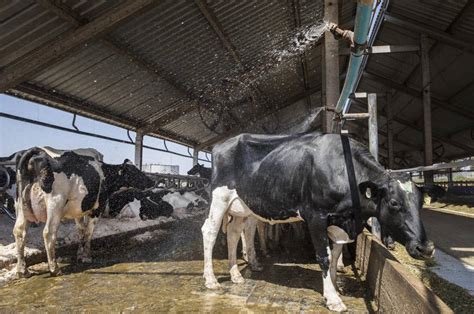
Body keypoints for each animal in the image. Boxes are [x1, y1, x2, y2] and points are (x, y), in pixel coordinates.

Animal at [13, 147, 154, 278]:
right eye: (134, 171)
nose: (152, 181)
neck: (105, 174)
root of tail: (36, 151)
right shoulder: (97, 209)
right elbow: (89, 232)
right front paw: (86, 256)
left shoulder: (79, 211)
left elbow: (81, 231)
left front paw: (80, 254)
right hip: (55, 204)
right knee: (48, 233)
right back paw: (54, 268)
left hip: (20, 206)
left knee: (19, 231)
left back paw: (22, 270)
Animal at [202, 132, 436, 312]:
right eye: (394, 203)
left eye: (420, 203)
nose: (426, 248)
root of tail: (222, 144)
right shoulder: (316, 216)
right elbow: (324, 257)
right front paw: (333, 299)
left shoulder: (340, 223)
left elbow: (335, 256)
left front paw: (333, 287)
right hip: (220, 197)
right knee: (210, 232)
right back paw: (211, 280)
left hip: (242, 206)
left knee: (235, 232)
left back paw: (236, 274)